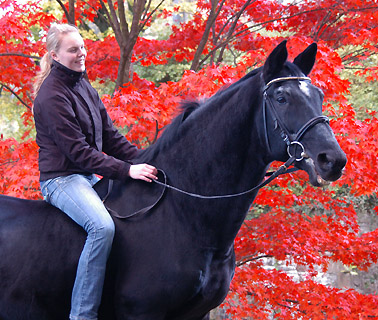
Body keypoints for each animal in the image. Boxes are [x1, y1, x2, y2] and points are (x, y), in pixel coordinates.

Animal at [0, 41, 346, 318]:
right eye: (282, 98)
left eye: (319, 95)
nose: (333, 160)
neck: (181, 214)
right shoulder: (142, 312)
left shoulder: (196, 314)